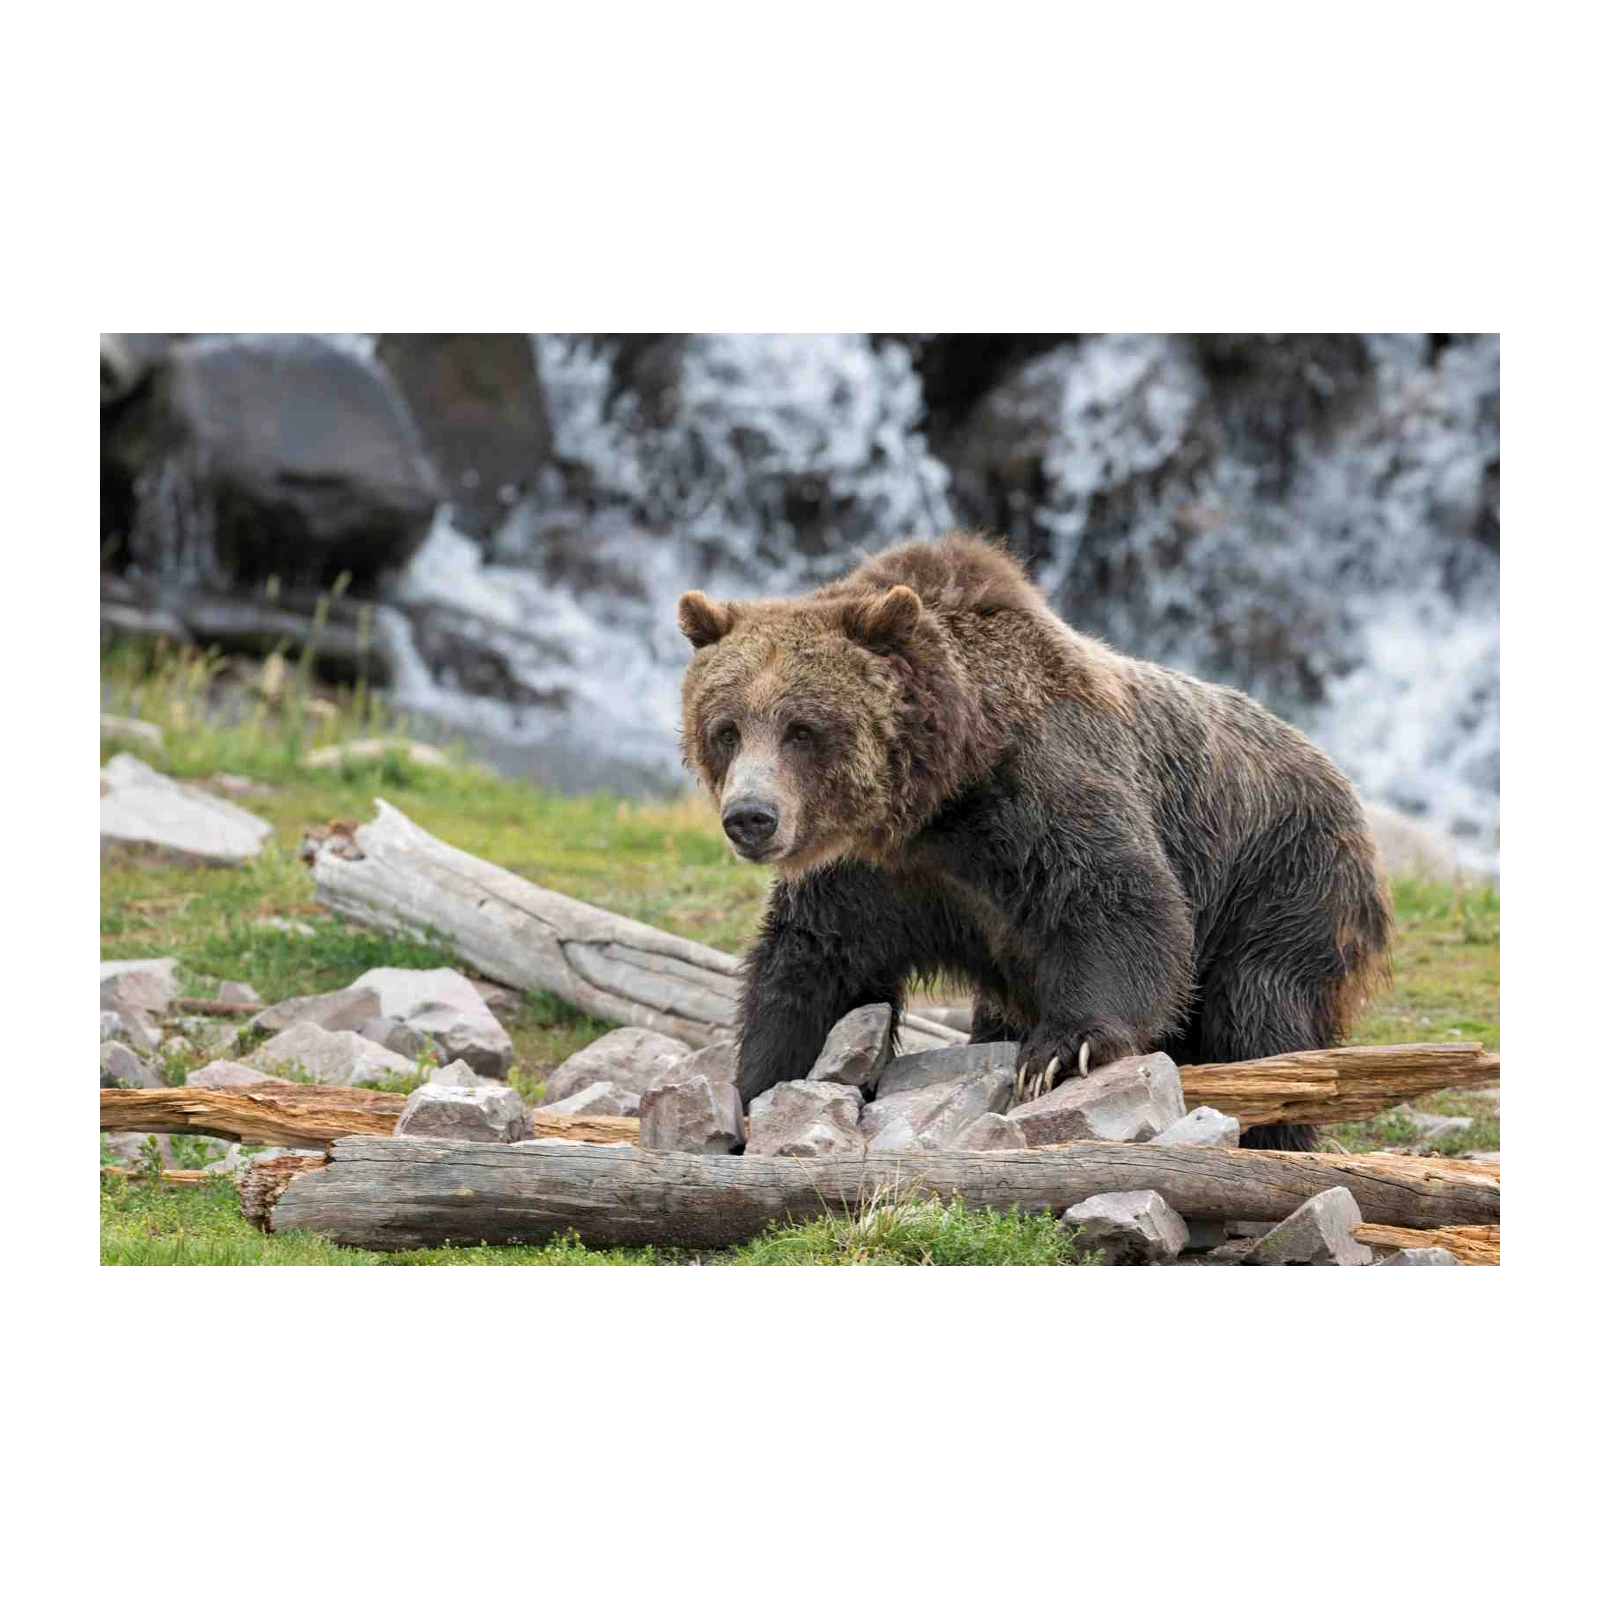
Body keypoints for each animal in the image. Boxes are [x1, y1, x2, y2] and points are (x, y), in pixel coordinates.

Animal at [677, 531, 1392, 1152]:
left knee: (1261, 1013)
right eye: (727, 728)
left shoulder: (1038, 794)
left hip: (1283, 879)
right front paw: (754, 1088)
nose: (750, 816)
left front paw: (1058, 1053)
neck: (938, 799)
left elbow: (1119, 902)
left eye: (802, 729)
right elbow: (813, 964)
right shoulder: (875, 875)